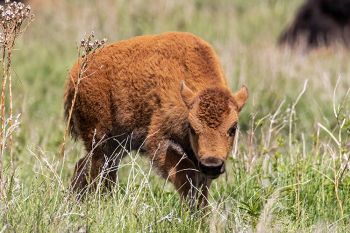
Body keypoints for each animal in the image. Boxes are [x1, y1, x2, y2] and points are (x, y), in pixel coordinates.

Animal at [63, 31, 249, 205]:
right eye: (192, 128)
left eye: (233, 128)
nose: (212, 165)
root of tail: (76, 74)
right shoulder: (159, 140)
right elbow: (186, 175)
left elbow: (202, 187)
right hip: (100, 141)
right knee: (98, 172)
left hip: (116, 147)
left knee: (88, 167)